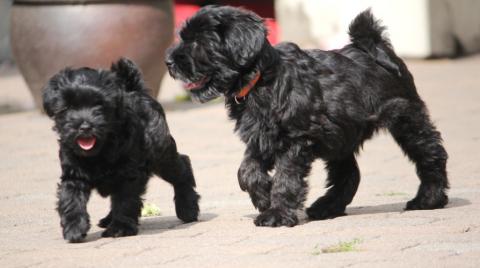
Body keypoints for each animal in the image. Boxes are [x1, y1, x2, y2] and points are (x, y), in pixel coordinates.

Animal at [41, 57, 199, 242]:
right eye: (67, 107)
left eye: (99, 105)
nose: (85, 126)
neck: (99, 150)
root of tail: (135, 90)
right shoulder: (74, 174)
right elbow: (70, 199)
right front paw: (74, 228)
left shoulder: (128, 174)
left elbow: (125, 200)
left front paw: (120, 228)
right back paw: (107, 219)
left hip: (161, 153)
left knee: (181, 168)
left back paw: (188, 208)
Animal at [166, 6, 450, 227]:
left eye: (198, 42)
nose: (169, 62)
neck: (259, 80)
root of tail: (377, 46)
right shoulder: (261, 137)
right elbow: (246, 170)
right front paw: (264, 196)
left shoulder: (295, 139)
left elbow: (286, 177)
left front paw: (276, 213)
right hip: (339, 136)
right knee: (349, 174)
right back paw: (326, 207)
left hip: (406, 118)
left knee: (430, 155)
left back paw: (428, 199)